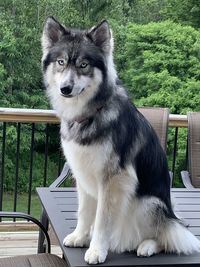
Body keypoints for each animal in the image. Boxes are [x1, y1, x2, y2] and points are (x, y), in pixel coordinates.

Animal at [40, 17, 200, 266]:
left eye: (83, 65)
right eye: (61, 62)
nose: (65, 89)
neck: (91, 113)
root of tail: (173, 217)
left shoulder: (114, 181)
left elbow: (102, 220)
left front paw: (97, 250)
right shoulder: (83, 176)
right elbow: (85, 212)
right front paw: (80, 236)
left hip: (147, 203)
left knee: (166, 236)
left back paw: (147, 245)